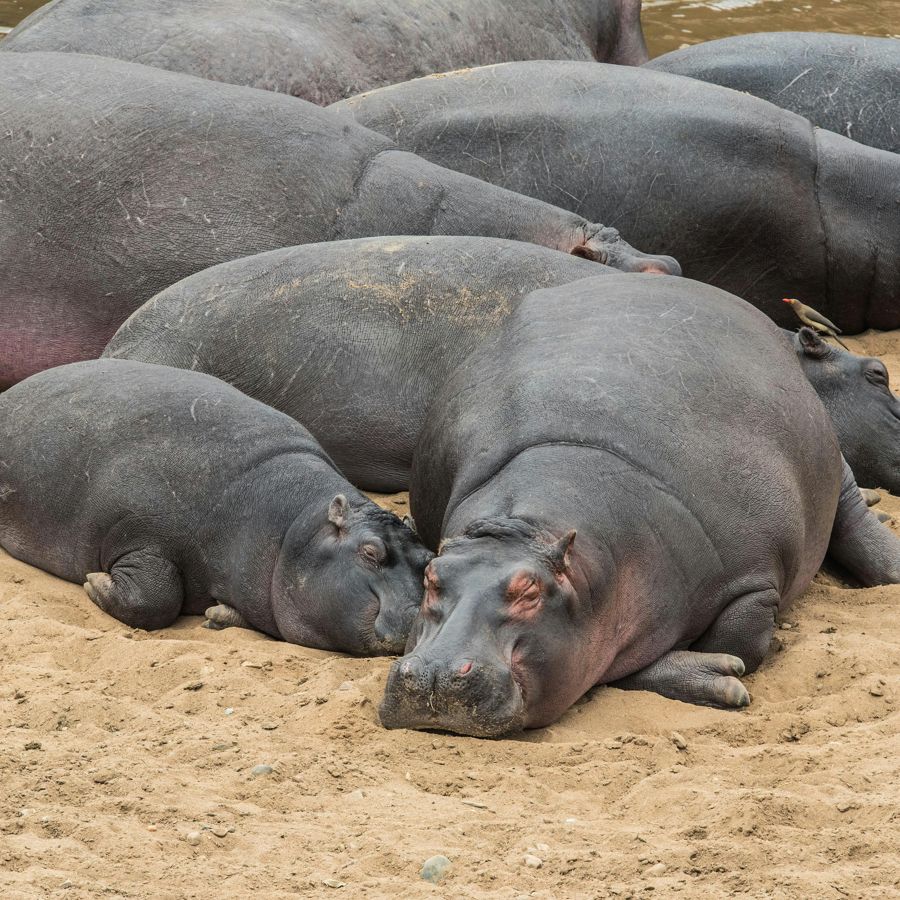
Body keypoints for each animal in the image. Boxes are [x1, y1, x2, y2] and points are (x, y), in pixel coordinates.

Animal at [0, 360, 432, 654]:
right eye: (371, 552)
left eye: (428, 559)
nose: (420, 620)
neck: (292, 526)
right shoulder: (139, 532)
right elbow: (156, 596)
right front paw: (95, 582)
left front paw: (218, 616)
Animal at [378, 274, 900, 736]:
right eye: (431, 578)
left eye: (529, 591)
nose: (435, 674)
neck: (527, 529)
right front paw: (721, 678)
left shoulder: (753, 582)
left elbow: (744, 644)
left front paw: (731, 674)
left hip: (828, 456)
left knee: (850, 510)